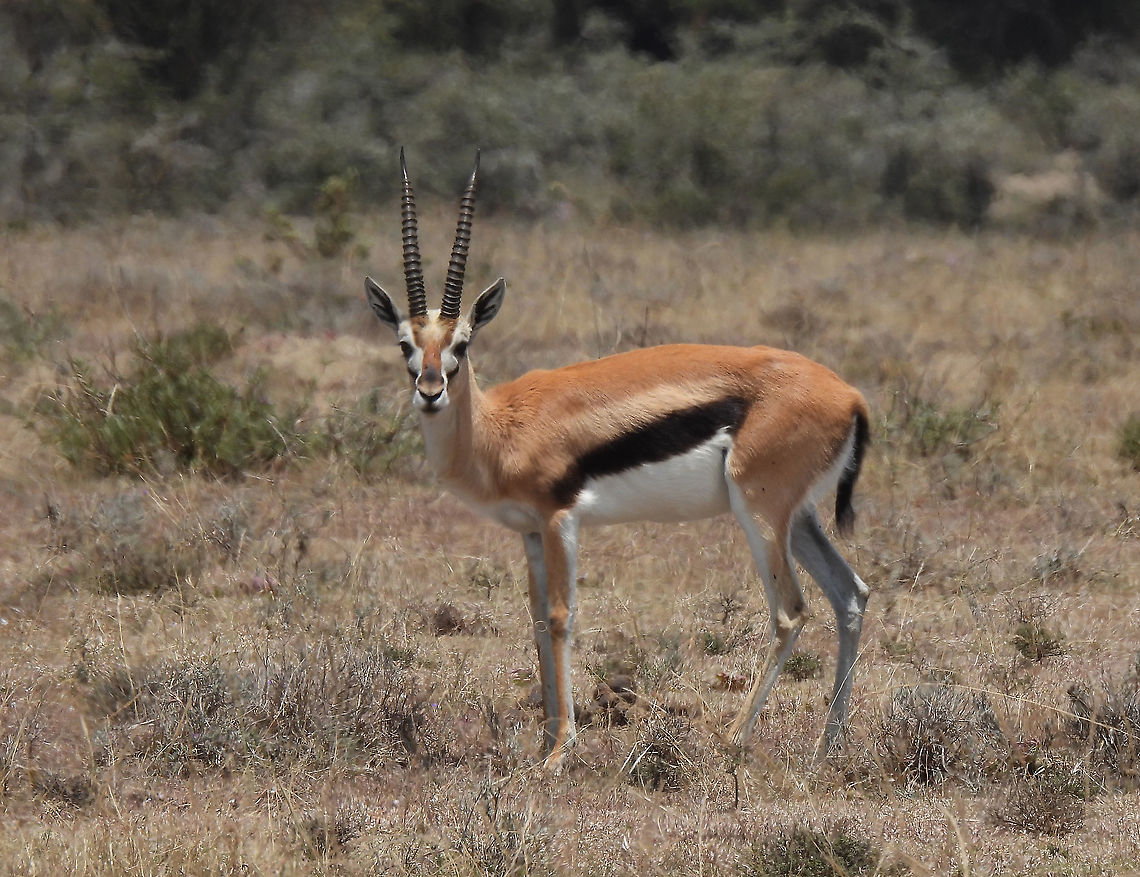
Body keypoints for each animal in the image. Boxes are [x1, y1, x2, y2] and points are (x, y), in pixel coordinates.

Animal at [365, 151, 872, 769]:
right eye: (405, 345)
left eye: (462, 343)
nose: (431, 391)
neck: (498, 427)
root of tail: (849, 395)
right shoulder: (529, 531)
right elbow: (537, 620)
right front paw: (544, 740)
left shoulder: (561, 519)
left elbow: (562, 618)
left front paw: (559, 752)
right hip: (798, 517)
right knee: (851, 595)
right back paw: (828, 744)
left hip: (760, 513)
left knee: (791, 611)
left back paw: (732, 739)